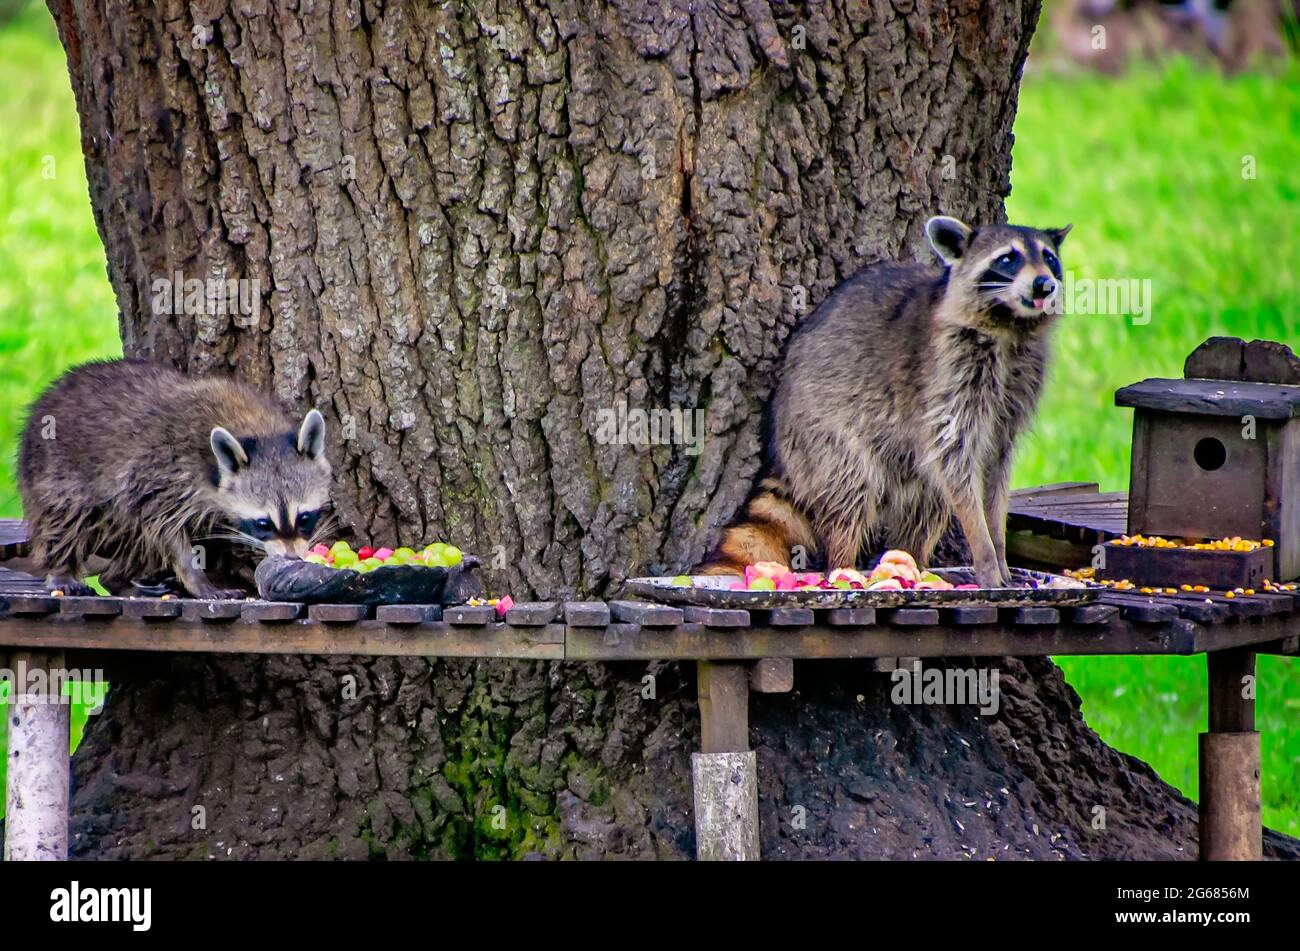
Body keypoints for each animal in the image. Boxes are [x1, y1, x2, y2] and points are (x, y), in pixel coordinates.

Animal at [18, 361, 332, 597]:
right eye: (264, 523)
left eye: (304, 518)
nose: (292, 560)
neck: (255, 427)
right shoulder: (159, 472)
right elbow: (162, 529)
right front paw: (196, 578)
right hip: (55, 469)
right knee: (68, 517)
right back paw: (61, 568)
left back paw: (116, 578)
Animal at [707, 215, 1071, 587]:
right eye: (1007, 259)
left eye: (1049, 258)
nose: (1043, 285)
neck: (1011, 326)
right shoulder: (946, 378)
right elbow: (956, 464)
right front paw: (983, 549)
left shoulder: (1016, 389)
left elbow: (994, 471)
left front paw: (997, 546)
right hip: (820, 431)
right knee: (850, 489)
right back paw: (842, 562)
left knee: (927, 503)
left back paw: (916, 559)